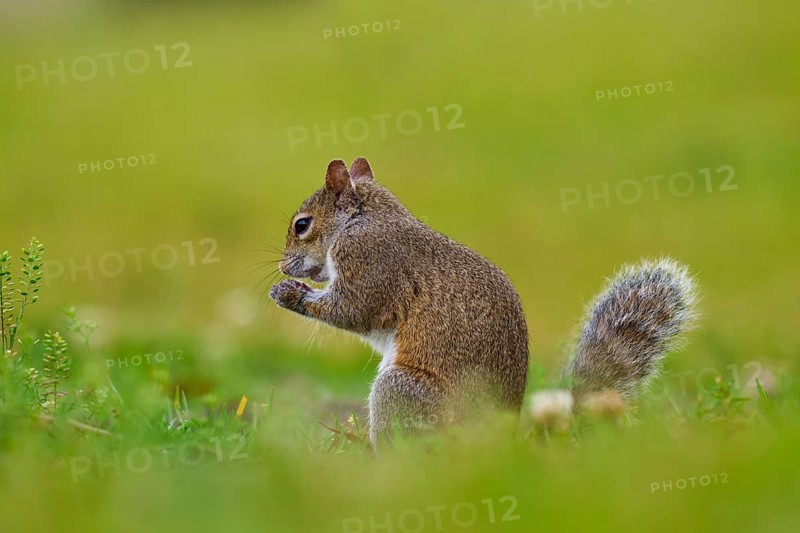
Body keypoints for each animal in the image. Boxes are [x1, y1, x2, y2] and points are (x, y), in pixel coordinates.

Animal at [269, 157, 697, 448]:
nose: (283, 265)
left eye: (302, 225)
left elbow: (352, 310)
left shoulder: (370, 262)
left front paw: (289, 293)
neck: (364, 220)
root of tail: (499, 442)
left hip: (402, 393)